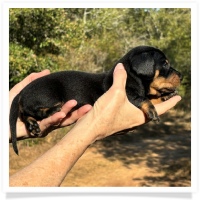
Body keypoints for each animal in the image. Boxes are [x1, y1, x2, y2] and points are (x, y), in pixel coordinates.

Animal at [9, 45, 182, 155]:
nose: (181, 75)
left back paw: (32, 125)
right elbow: (144, 99)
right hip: (47, 94)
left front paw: (166, 95)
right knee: (32, 110)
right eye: (165, 64)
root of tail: (22, 91)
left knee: (25, 114)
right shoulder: (129, 94)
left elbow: (153, 96)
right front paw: (152, 109)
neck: (132, 78)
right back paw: (53, 110)